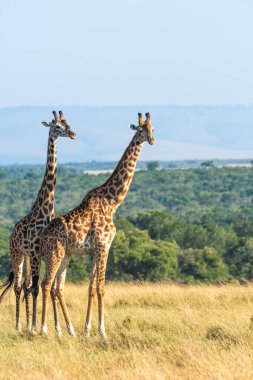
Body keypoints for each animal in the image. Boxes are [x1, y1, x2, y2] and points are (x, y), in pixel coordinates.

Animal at [0, 110, 76, 332]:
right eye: (57, 126)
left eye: (67, 124)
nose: (73, 134)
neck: (45, 208)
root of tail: (11, 235)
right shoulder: (35, 252)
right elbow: (36, 287)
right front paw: (35, 326)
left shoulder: (41, 253)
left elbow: (43, 286)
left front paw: (47, 326)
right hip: (17, 254)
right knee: (19, 286)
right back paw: (19, 325)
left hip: (27, 257)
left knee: (26, 285)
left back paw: (27, 324)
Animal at [40, 111, 154, 336]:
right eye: (140, 129)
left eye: (152, 128)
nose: (152, 140)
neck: (112, 202)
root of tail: (42, 236)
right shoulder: (103, 246)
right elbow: (101, 286)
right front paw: (102, 331)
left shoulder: (95, 250)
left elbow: (91, 286)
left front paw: (87, 329)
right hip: (54, 254)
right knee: (46, 284)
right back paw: (42, 329)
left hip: (65, 255)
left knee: (55, 287)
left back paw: (63, 329)